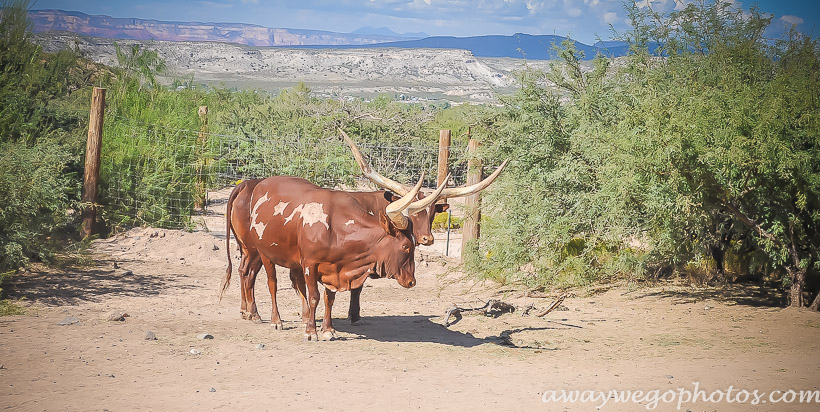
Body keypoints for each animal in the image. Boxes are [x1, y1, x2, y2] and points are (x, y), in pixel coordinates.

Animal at [223, 172, 448, 340]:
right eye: (406, 246)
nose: (411, 281)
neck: (336, 227)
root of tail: (256, 184)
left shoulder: (333, 269)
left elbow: (329, 298)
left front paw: (327, 329)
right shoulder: (310, 265)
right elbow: (314, 296)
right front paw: (312, 331)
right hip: (263, 253)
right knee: (270, 284)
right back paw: (273, 319)